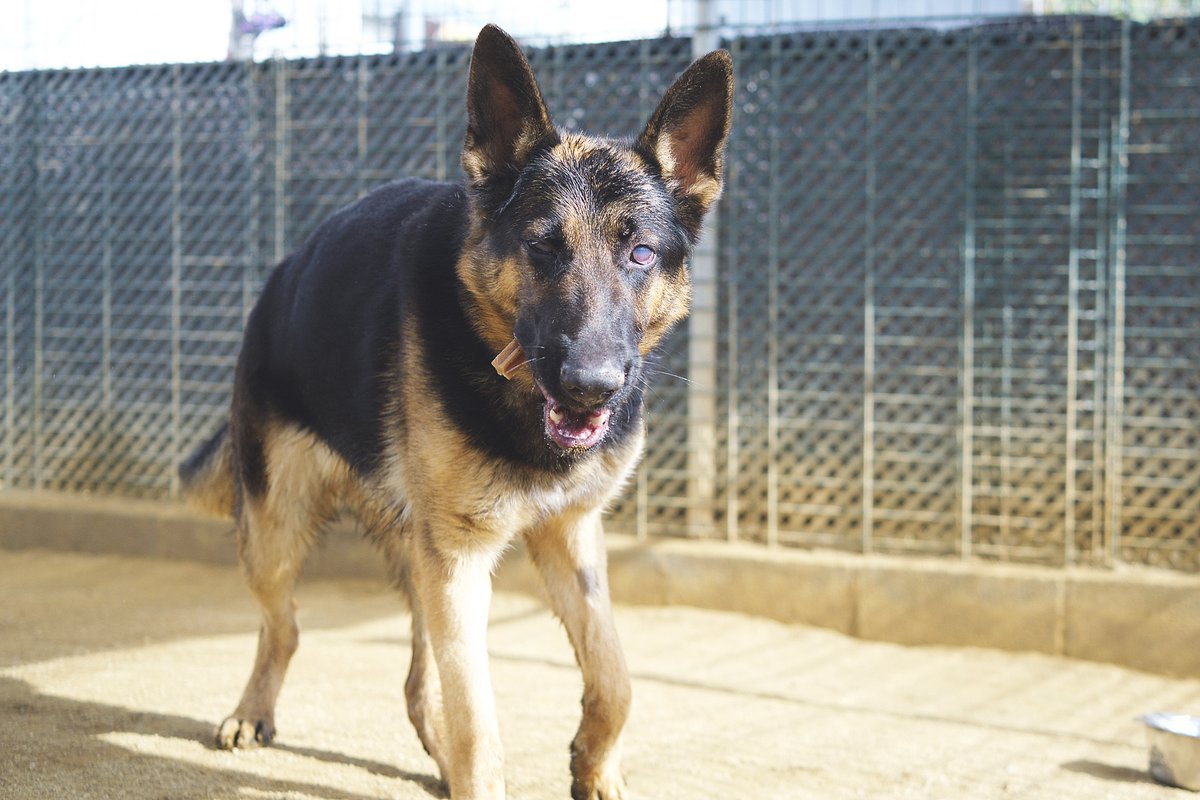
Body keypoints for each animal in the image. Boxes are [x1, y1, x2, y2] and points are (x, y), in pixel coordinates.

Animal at [180, 25, 729, 800]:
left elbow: (616, 675)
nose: (589, 385)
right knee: (283, 627)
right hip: (275, 530)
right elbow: (480, 725)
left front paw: (593, 762)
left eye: (641, 253)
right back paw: (252, 712)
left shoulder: (569, 535)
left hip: (412, 557)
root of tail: (283, 271)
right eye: (542, 245)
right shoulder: (461, 558)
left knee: (417, 684)